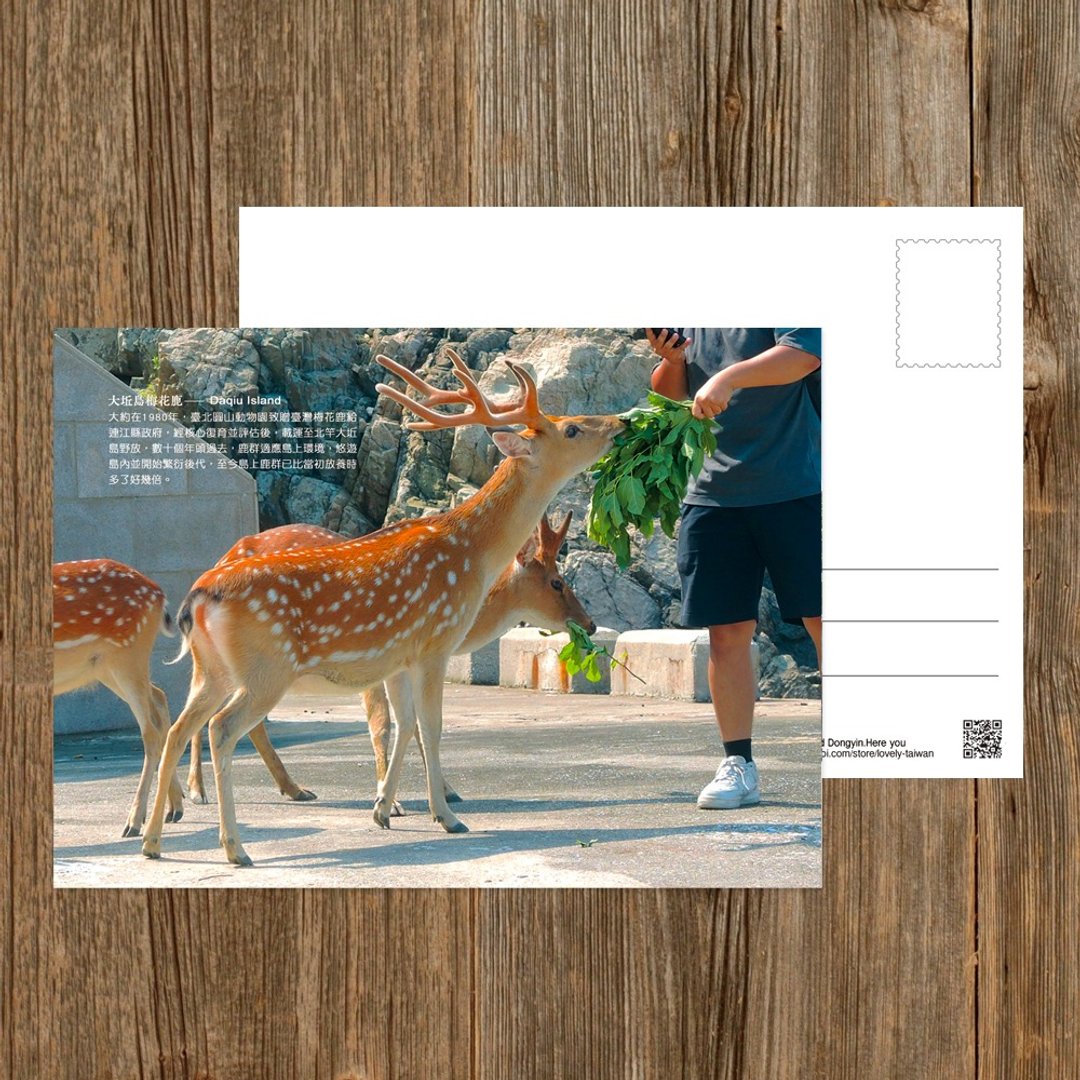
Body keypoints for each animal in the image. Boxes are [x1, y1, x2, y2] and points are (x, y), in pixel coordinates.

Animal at [52, 559, 185, 836]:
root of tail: (158, 593)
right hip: (107, 667)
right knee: (159, 698)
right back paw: (174, 808)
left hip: (128, 655)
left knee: (150, 731)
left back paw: (134, 822)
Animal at [184, 512, 591, 811]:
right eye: (557, 582)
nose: (589, 622)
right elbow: (382, 725)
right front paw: (390, 801)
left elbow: (418, 727)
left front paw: (445, 790)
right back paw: (197, 792)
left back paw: (294, 789)